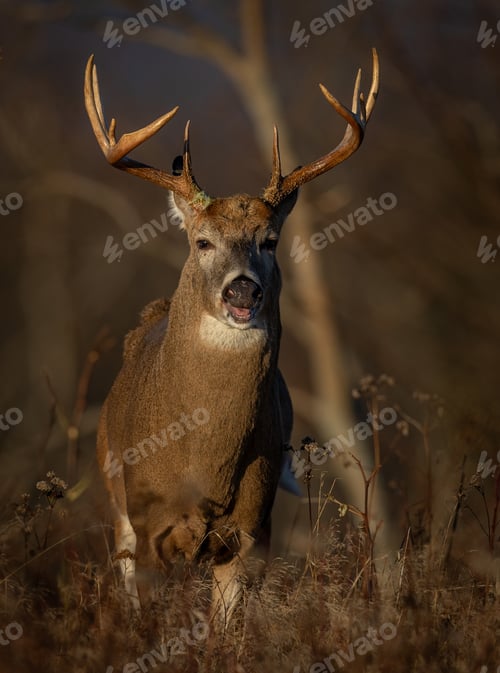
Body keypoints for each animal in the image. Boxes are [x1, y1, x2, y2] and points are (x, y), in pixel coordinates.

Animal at [84, 49, 379, 628]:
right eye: (202, 241)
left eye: (270, 240)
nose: (242, 289)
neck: (206, 466)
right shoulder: (148, 525)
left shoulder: (251, 530)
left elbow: (228, 631)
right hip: (116, 505)